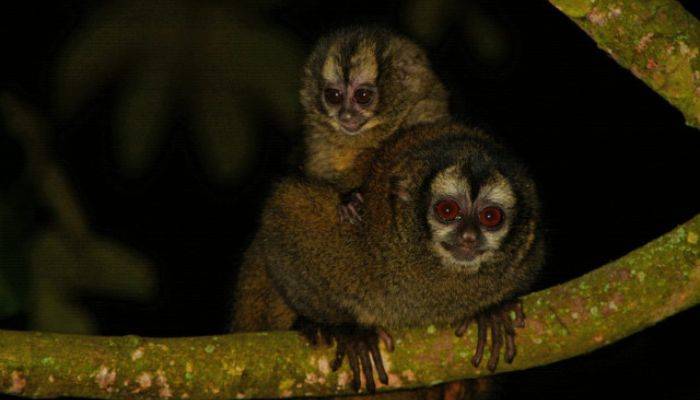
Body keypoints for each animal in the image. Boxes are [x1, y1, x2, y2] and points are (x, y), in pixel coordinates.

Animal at [231, 120, 544, 398]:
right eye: (447, 210)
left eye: (490, 217)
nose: (468, 237)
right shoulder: (360, 231)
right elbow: (284, 217)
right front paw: (345, 331)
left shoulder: (523, 264)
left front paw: (492, 314)